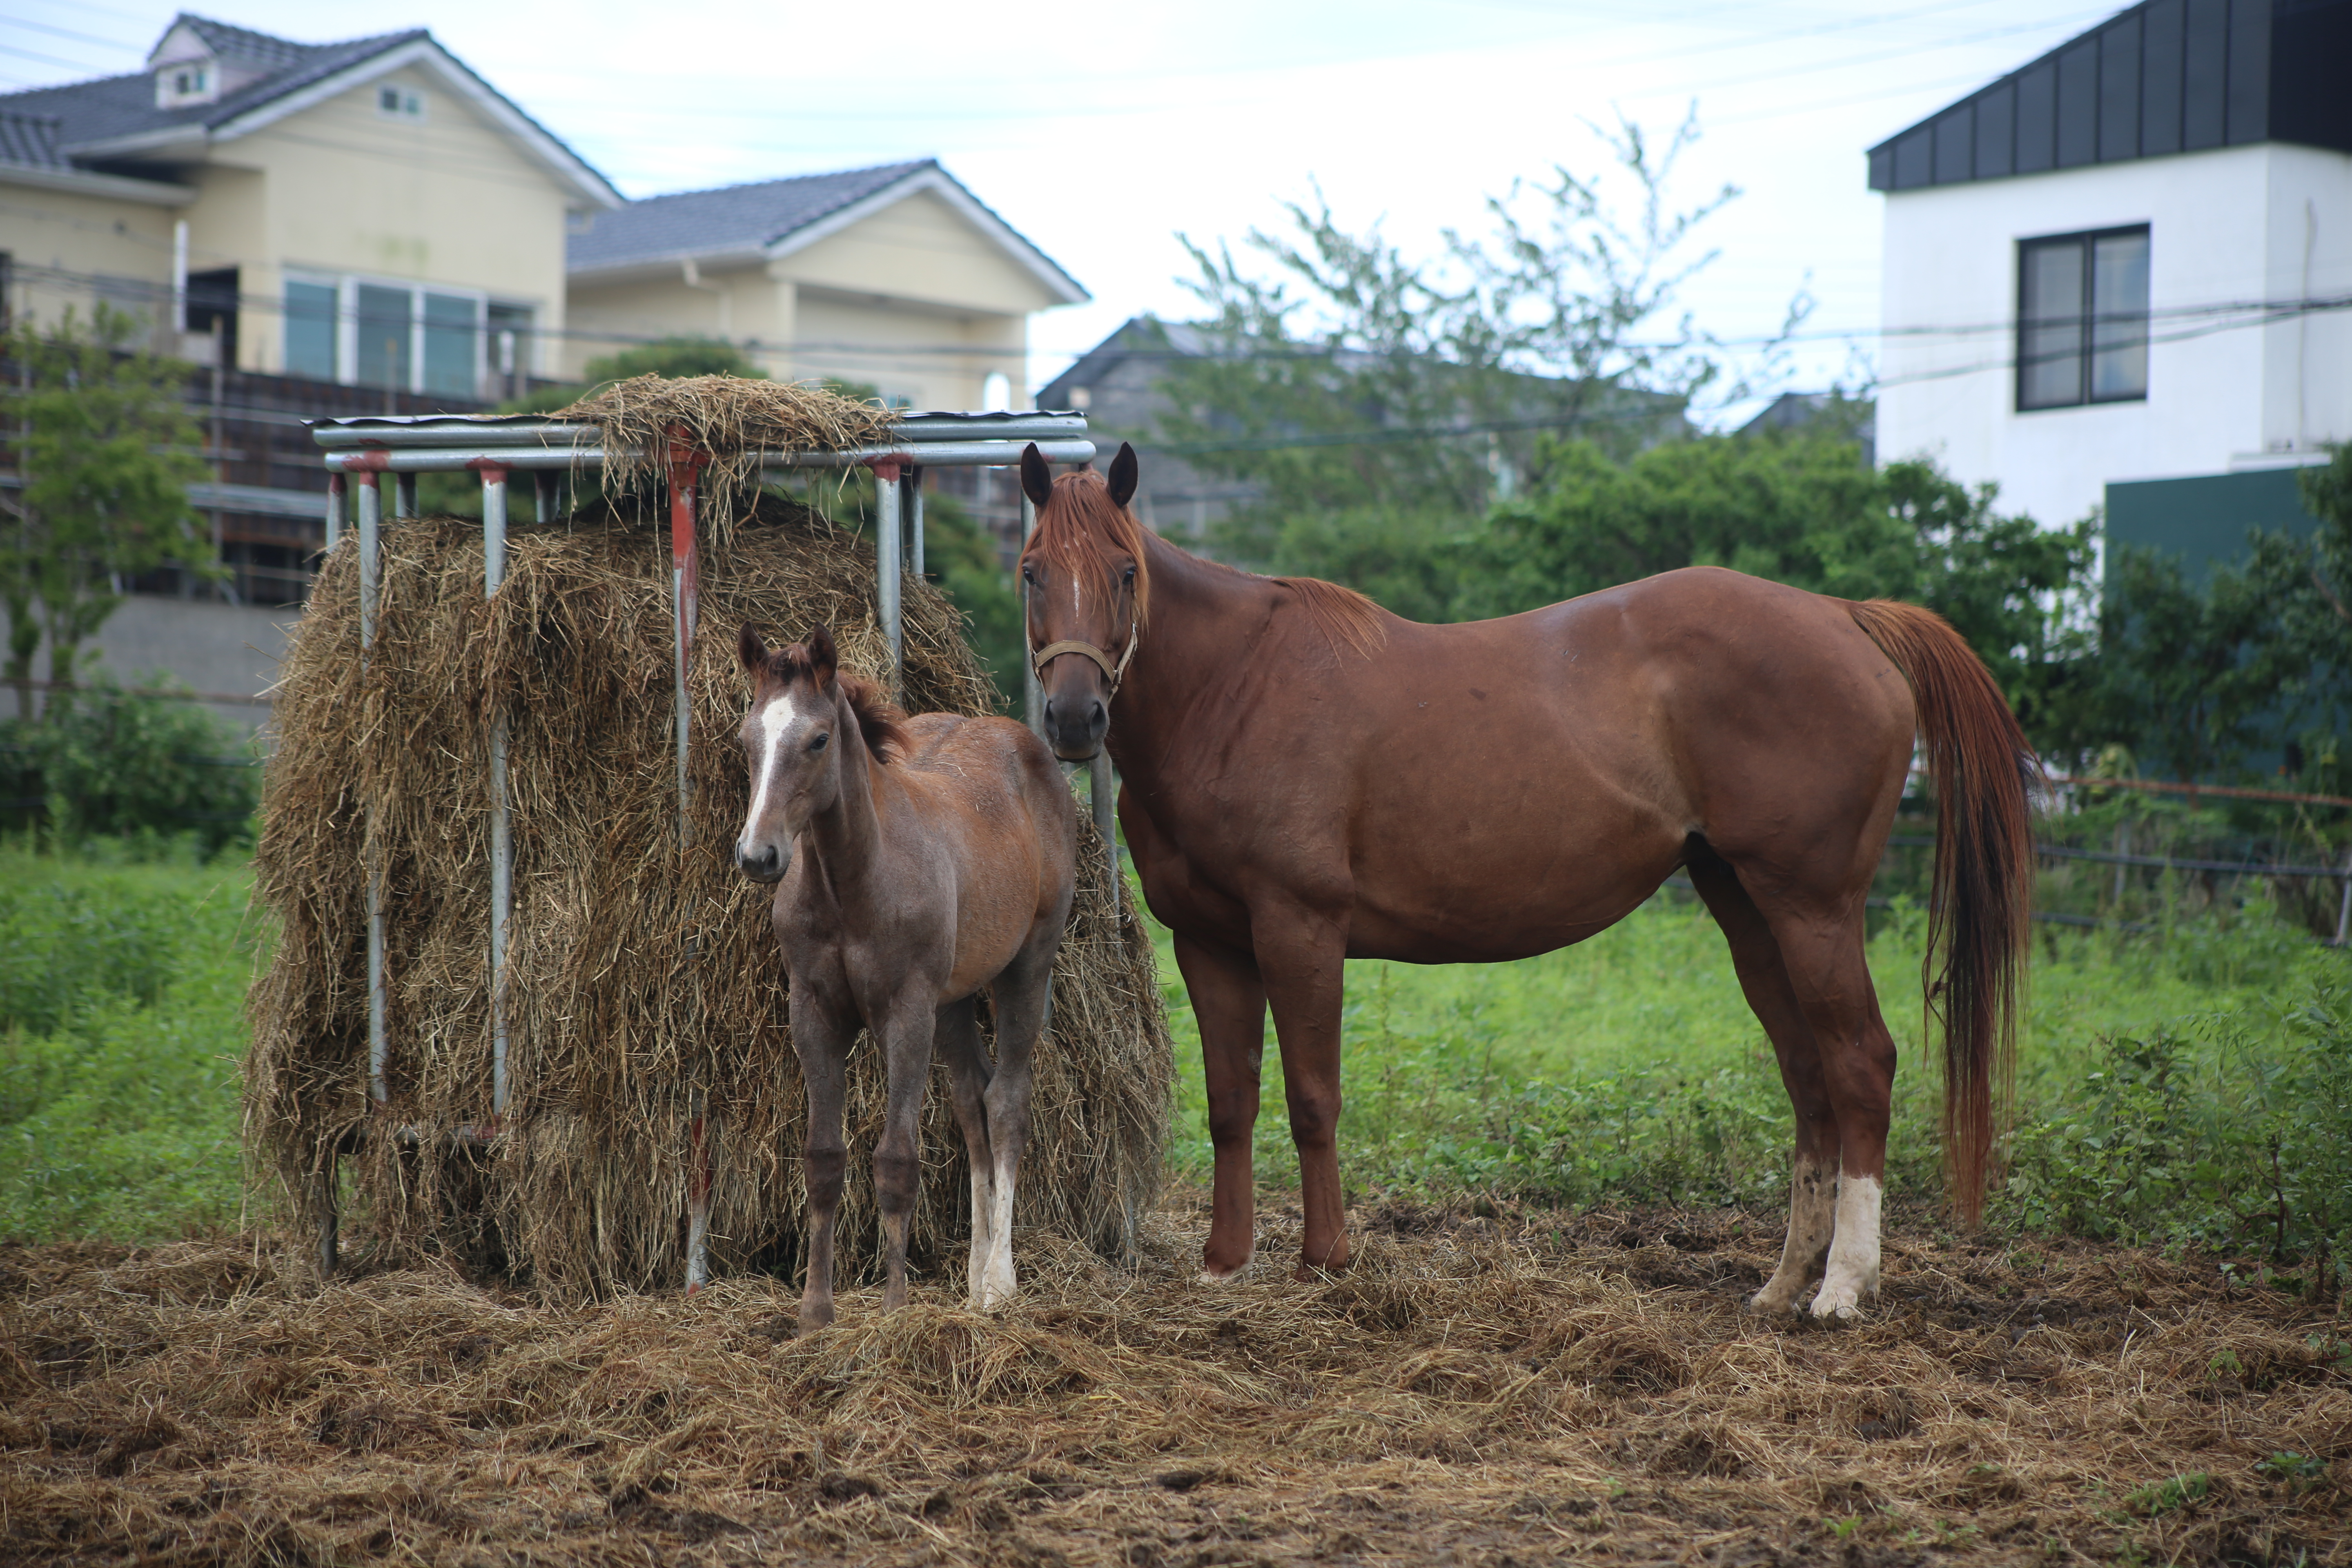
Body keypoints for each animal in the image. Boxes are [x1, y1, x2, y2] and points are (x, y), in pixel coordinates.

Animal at [729, 620, 1077, 1326]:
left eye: (818, 739)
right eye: (747, 739)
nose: (758, 856)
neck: (853, 883)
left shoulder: (905, 1015)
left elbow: (895, 1160)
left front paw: (893, 1309)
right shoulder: (813, 1014)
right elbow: (824, 1159)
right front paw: (815, 1312)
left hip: (1025, 968)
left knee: (1007, 1102)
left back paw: (998, 1283)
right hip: (954, 1002)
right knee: (973, 1100)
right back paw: (973, 1276)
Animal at [1020, 444, 2032, 1326]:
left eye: (1124, 571)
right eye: (1032, 571)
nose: (1073, 718)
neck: (1235, 687)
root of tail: (1846, 616)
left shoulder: (1300, 927)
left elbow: (1312, 1097)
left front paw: (1326, 1260)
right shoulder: (1211, 940)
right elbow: (1232, 1102)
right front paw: (1226, 1264)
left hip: (1813, 909)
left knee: (1861, 1063)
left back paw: (1843, 1290)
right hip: (1750, 910)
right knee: (1809, 1075)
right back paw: (1783, 1287)